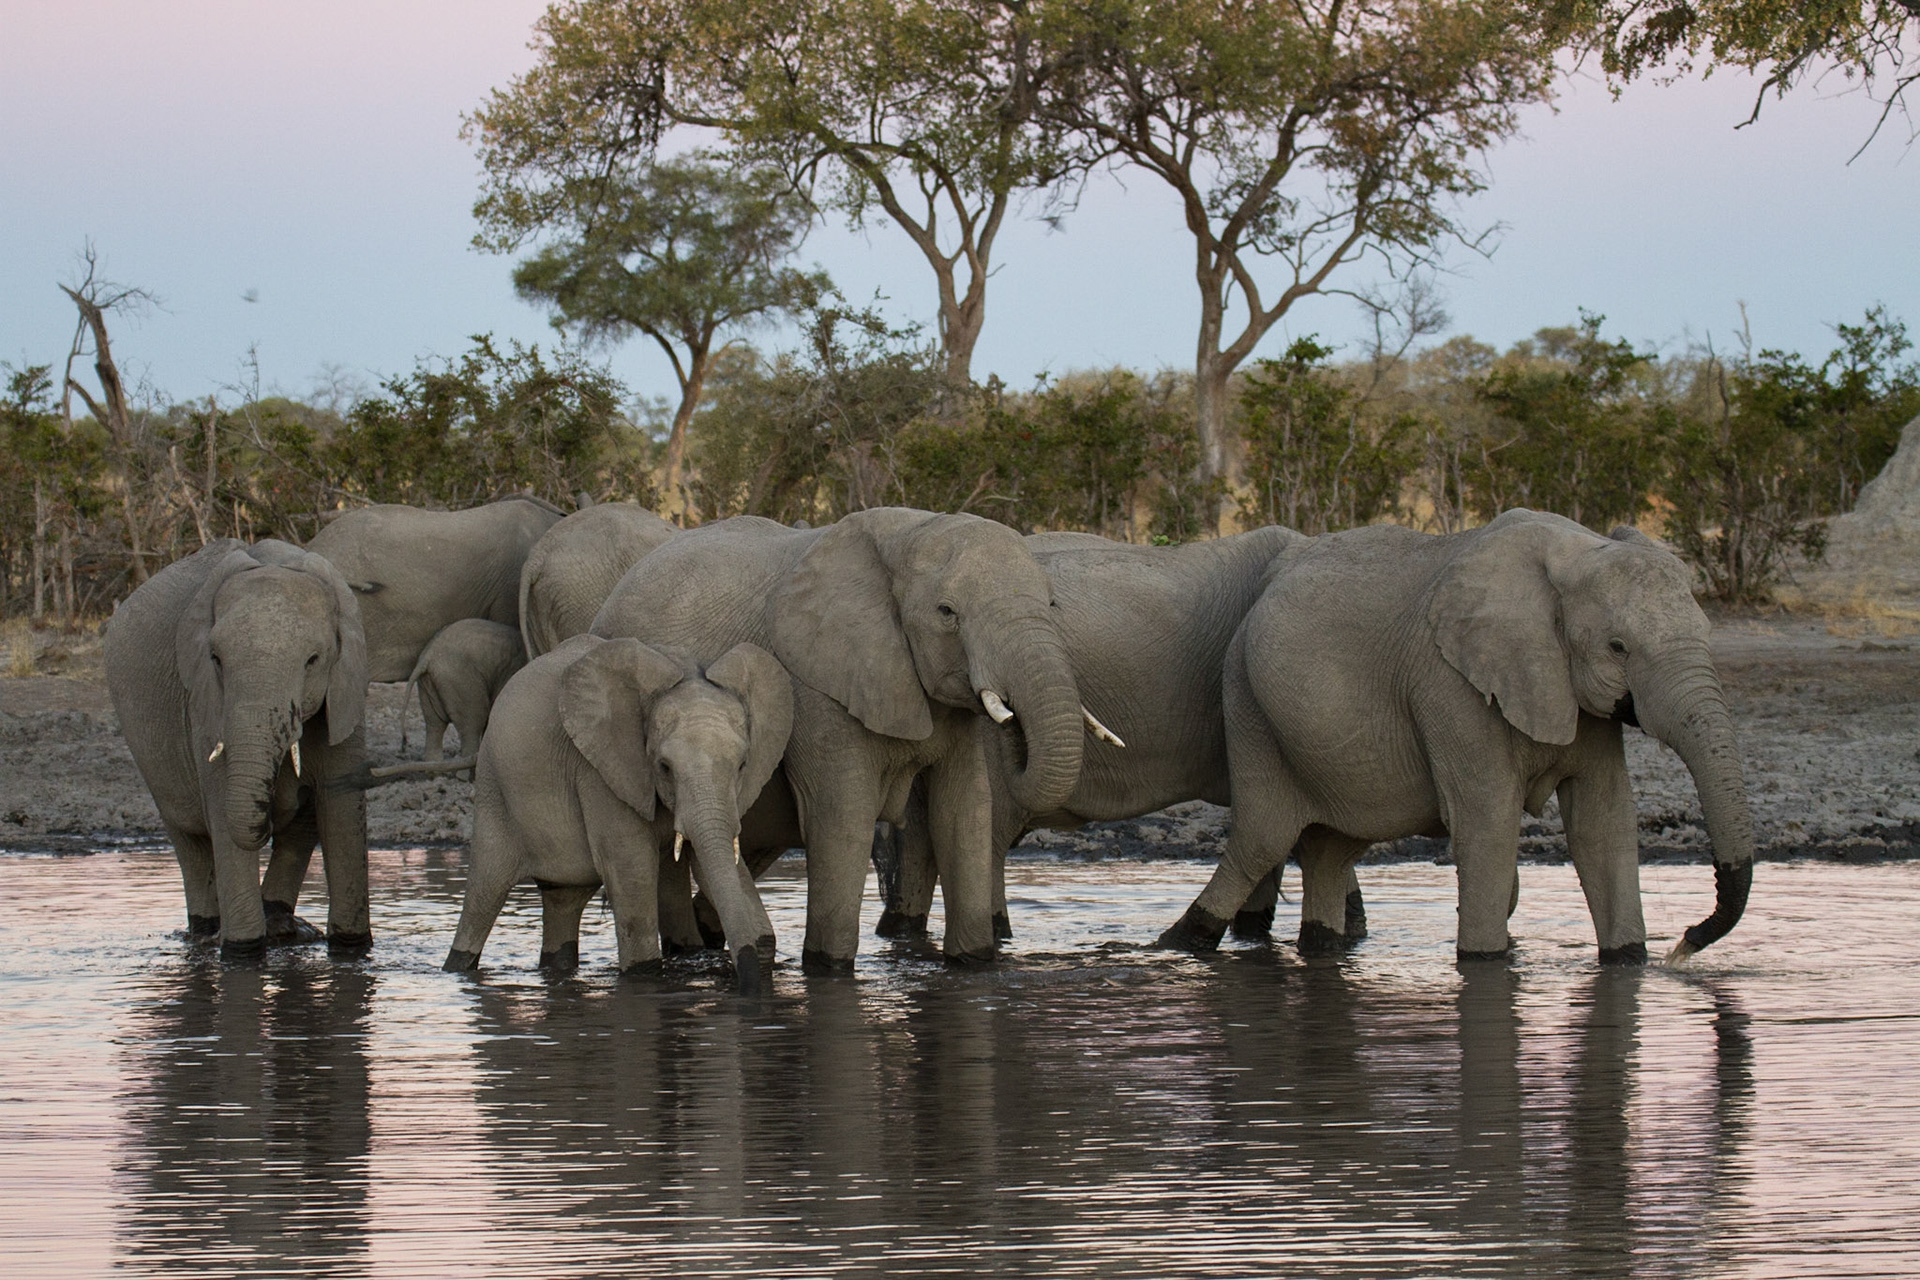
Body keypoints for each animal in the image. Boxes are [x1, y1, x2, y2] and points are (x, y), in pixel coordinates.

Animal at [105, 538, 371, 956]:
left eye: (313, 660)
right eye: (215, 659)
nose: (272, 806)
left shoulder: (346, 692)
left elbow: (340, 808)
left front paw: (350, 947)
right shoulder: (203, 706)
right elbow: (222, 814)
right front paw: (241, 952)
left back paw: (279, 922)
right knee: (189, 840)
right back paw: (208, 930)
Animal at [443, 635, 793, 992]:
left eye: (742, 765)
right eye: (664, 767)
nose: (749, 989)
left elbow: (707, 861)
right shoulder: (600, 771)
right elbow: (632, 868)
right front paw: (643, 977)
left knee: (563, 900)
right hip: (494, 791)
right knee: (484, 894)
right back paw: (456, 969)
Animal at [591, 507, 1088, 969]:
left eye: (1052, 604)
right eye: (947, 613)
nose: (1015, 724)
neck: (911, 531)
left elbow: (964, 810)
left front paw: (974, 962)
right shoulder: (815, 685)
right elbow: (842, 814)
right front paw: (829, 968)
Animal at [1158, 509, 1755, 965]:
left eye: (1706, 633)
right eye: (1617, 647)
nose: (1686, 941)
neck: (1575, 551)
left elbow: (1603, 819)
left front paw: (1630, 962)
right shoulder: (1449, 684)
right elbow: (1487, 819)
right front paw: (1487, 961)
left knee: (1328, 849)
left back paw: (1321, 949)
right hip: (1247, 702)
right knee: (1261, 840)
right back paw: (1177, 946)